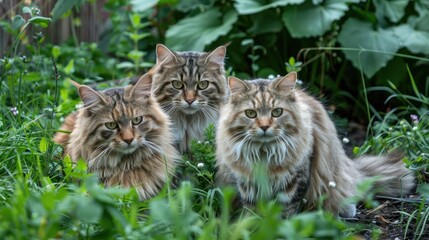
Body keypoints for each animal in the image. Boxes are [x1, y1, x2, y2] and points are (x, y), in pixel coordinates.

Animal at [217, 71, 414, 218]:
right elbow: (252, 211)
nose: (264, 127)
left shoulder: (296, 180)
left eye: (277, 112)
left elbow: (286, 210)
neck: (264, 152)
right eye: (251, 113)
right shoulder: (247, 182)